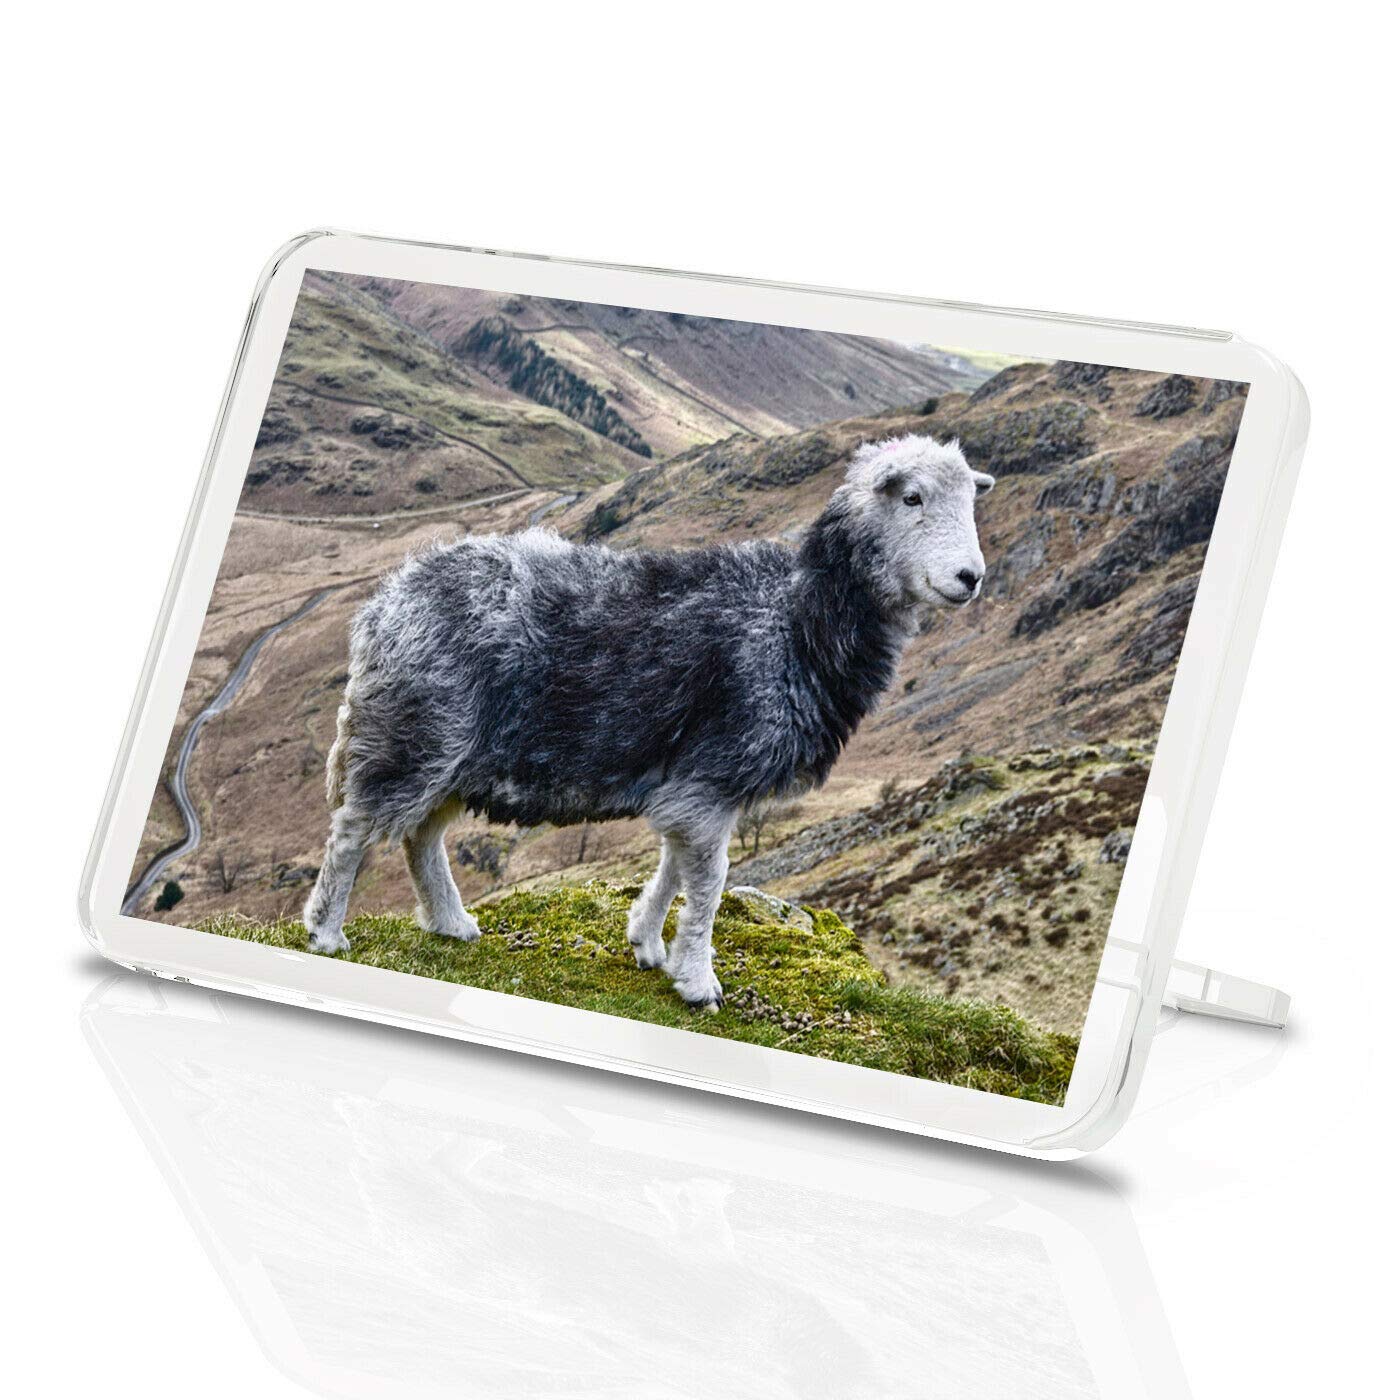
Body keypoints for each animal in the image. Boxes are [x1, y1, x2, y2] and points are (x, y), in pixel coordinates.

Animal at [303, 434, 994, 1009]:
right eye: (912, 497)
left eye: (971, 500)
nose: (971, 578)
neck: (798, 621)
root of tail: (386, 600)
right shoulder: (713, 776)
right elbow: (710, 881)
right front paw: (698, 981)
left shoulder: (693, 782)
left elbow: (675, 865)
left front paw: (648, 943)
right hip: (414, 733)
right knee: (354, 829)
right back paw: (327, 932)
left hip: (452, 754)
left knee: (420, 837)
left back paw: (450, 923)